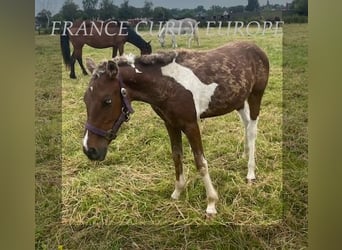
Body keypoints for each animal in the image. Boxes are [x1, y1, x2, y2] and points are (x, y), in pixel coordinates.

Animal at [82, 42, 270, 216]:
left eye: (107, 100)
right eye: (85, 99)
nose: (89, 150)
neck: (167, 85)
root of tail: (256, 47)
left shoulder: (191, 124)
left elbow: (200, 162)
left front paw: (211, 203)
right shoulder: (171, 124)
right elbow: (176, 156)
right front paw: (178, 192)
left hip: (255, 96)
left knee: (252, 130)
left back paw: (250, 173)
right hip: (238, 101)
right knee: (246, 124)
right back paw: (245, 154)